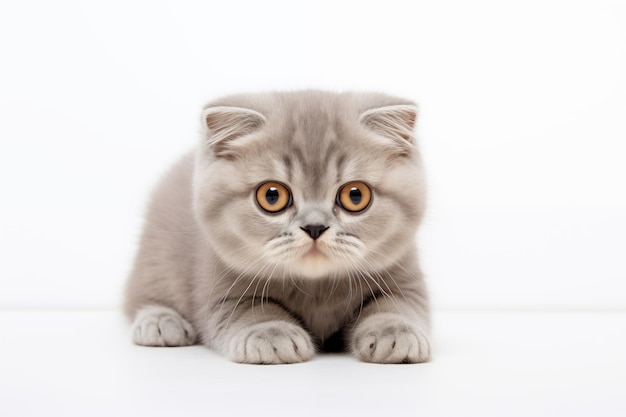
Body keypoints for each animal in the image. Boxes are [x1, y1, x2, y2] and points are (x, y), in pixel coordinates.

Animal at [125, 89, 432, 362]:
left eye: (355, 196)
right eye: (272, 196)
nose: (314, 227)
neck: (317, 287)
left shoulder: (405, 278)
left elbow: (397, 304)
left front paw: (395, 331)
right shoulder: (218, 286)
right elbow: (252, 309)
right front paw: (271, 333)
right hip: (155, 257)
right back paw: (160, 321)